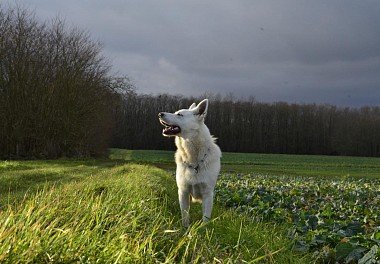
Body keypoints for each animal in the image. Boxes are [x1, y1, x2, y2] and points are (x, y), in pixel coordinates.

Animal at [158, 99, 223, 227]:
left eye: (179, 114)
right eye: (175, 112)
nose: (159, 114)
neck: (194, 159)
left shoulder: (208, 194)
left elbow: (205, 218)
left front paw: (203, 229)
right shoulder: (183, 191)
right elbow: (185, 215)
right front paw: (185, 228)